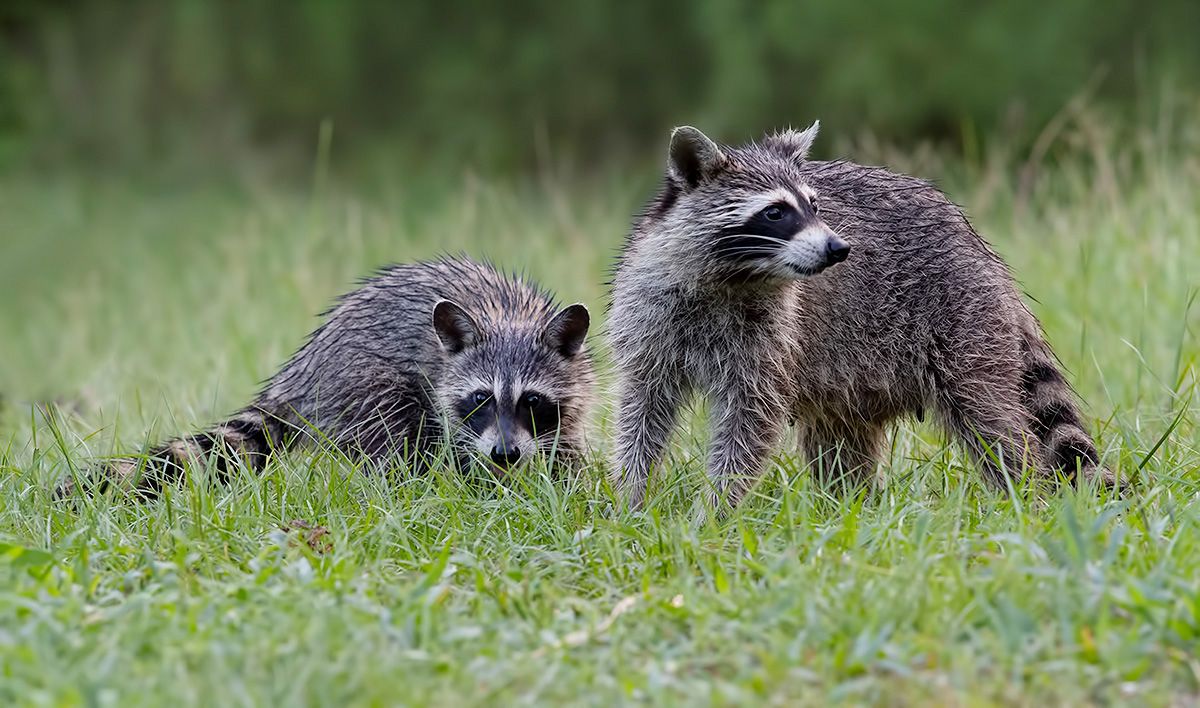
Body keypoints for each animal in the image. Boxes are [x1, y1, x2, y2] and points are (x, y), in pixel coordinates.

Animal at [60, 256, 595, 499]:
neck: (509, 318)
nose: (504, 454)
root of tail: (302, 370)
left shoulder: (574, 388)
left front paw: (567, 485)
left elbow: (564, 445)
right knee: (394, 431)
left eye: (531, 401)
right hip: (359, 379)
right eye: (481, 398)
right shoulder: (444, 385)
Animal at [614, 123, 1108, 511]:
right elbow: (642, 413)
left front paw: (715, 511)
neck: (733, 276)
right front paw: (631, 499)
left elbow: (748, 423)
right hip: (850, 377)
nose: (839, 248)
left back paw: (1024, 496)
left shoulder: (768, 340)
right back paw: (848, 508)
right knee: (839, 442)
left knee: (992, 420)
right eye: (775, 212)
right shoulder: (649, 320)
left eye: (815, 205)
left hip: (964, 319)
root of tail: (980, 248)